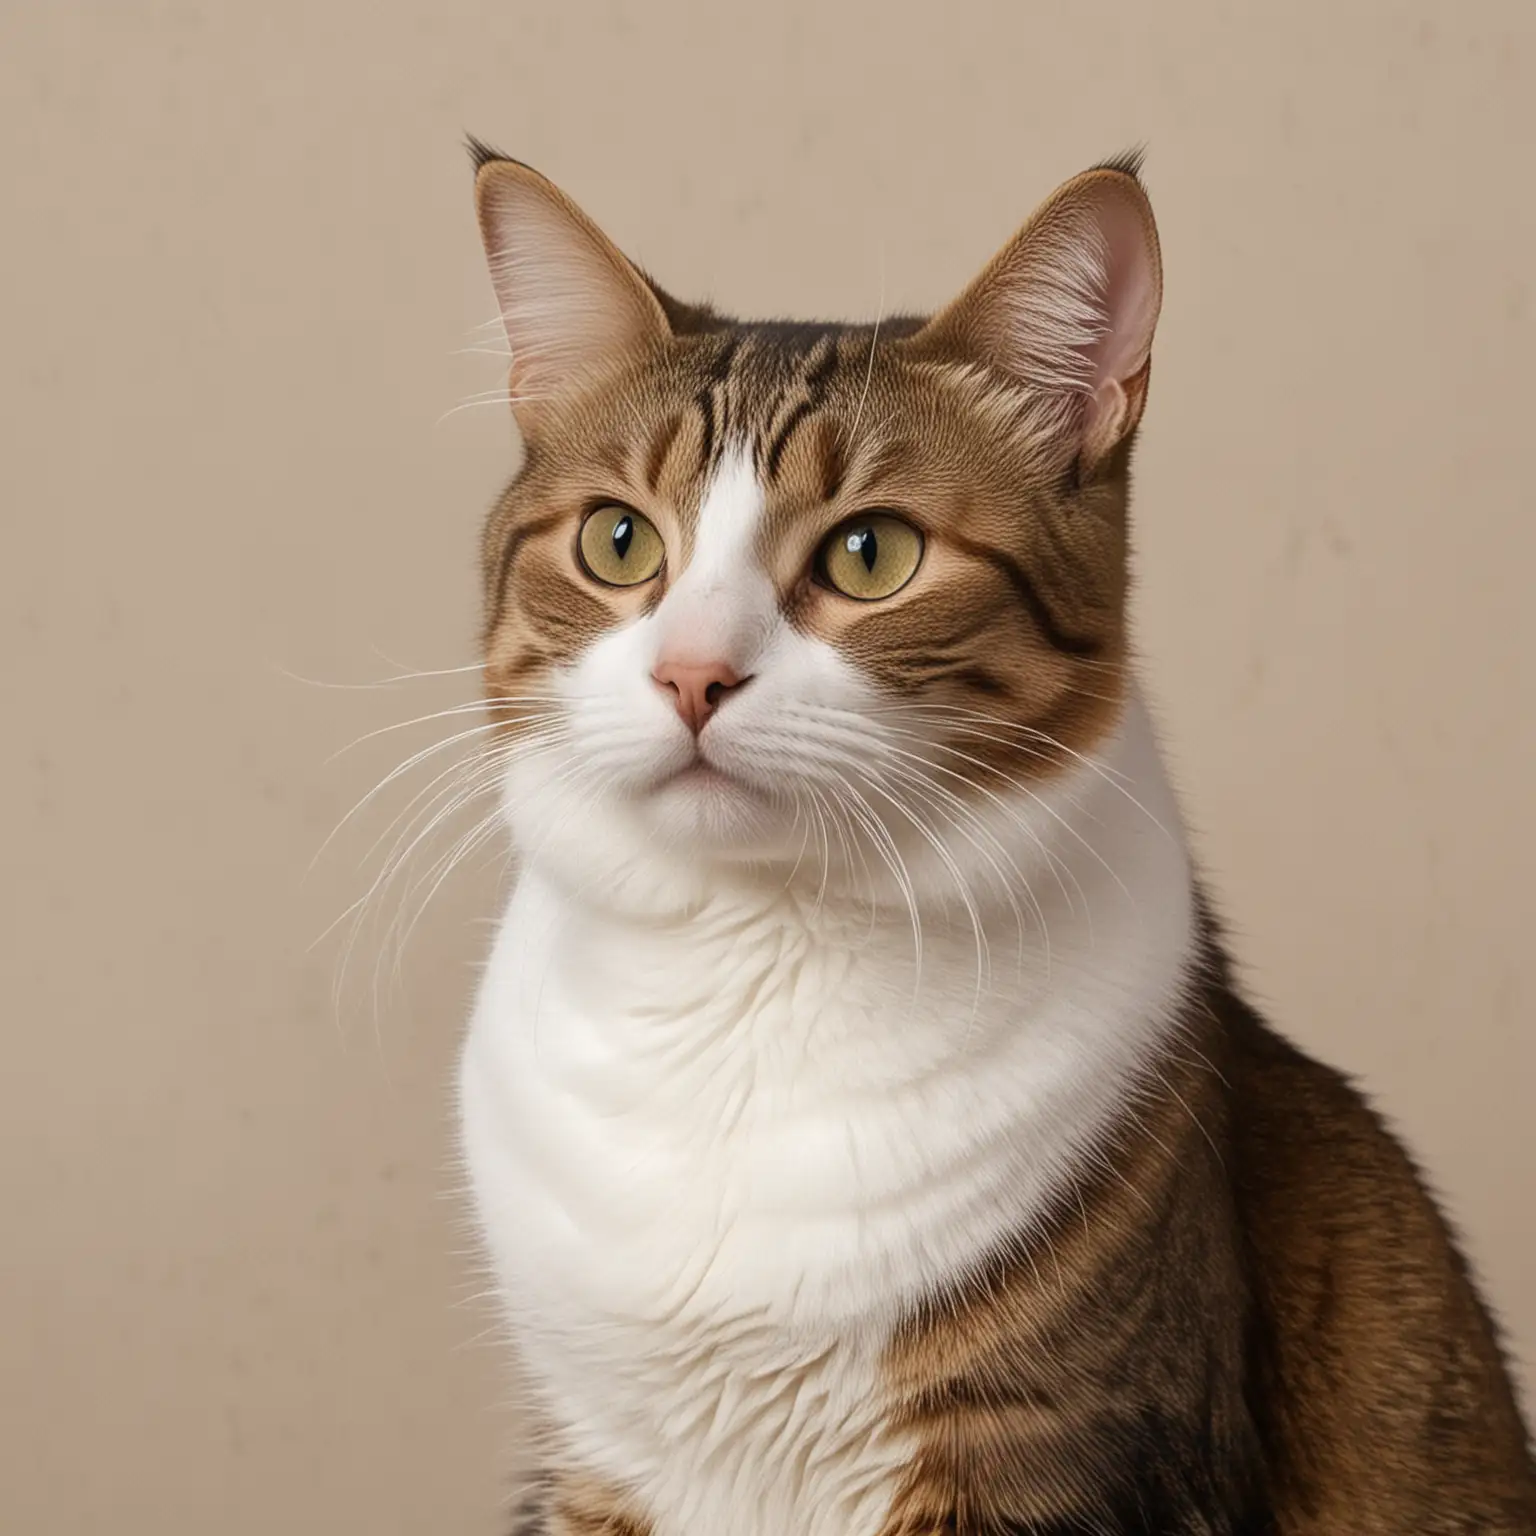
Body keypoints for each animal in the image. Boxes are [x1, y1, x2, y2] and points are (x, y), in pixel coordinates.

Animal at [454, 138, 1536, 1529]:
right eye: (620, 540)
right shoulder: (596, 1453)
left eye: (871, 554)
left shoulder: (1067, 1445)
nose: (692, 674)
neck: (743, 970)